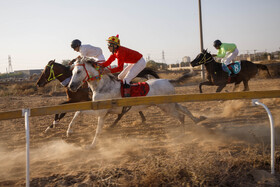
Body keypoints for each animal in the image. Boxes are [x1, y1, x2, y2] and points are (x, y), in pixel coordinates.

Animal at [67, 57, 205, 148]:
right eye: (72, 72)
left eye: (78, 71)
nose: (71, 86)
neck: (103, 86)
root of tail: (167, 80)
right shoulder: (99, 110)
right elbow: (78, 111)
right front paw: (69, 132)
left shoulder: (102, 112)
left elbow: (97, 129)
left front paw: (91, 145)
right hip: (170, 103)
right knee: (184, 109)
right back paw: (197, 119)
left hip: (166, 106)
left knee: (180, 115)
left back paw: (182, 135)